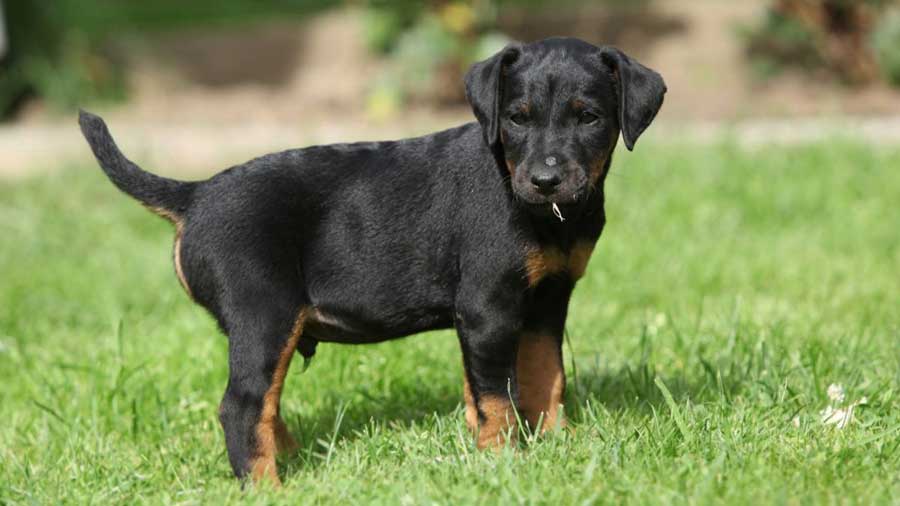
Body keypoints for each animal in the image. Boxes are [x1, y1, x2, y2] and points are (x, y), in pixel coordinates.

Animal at [77, 37, 664, 484]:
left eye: (589, 118)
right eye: (517, 119)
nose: (545, 180)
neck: (548, 215)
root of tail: (195, 195)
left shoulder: (547, 300)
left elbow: (546, 375)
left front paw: (559, 443)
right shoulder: (488, 307)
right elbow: (496, 395)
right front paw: (503, 460)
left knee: (265, 403)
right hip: (263, 313)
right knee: (242, 406)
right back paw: (268, 486)